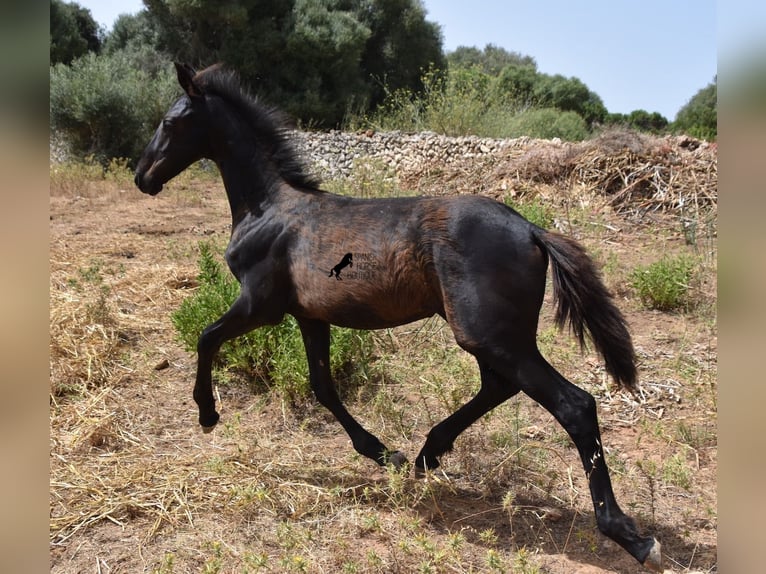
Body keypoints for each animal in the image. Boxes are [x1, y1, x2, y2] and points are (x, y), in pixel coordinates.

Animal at [135, 63, 664, 572]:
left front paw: (207, 413)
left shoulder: (260, 305)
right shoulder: (310, 316)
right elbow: (322, 386)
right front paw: (383, 452)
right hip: (491, 335)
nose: (143, 178)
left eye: (170, 121)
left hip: (489, 335)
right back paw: (427, 454)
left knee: (573, 404)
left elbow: (206, 337)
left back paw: (631, 536)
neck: (267, 210)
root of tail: (532, 230)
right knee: (499, 386)